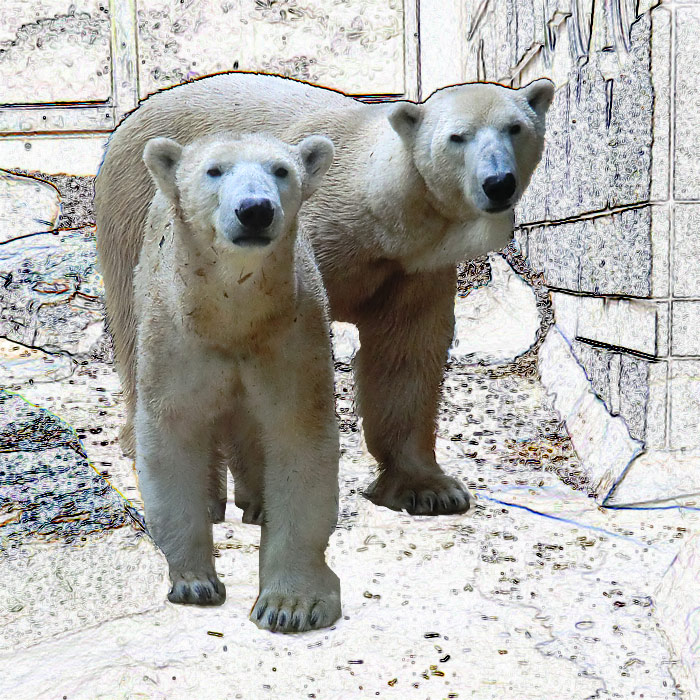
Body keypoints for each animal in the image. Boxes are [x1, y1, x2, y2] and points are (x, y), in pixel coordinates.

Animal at [94, 71, 552, 520]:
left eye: (515, 128)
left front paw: (429, 489)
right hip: (132, 212)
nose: (498, 183)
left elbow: (405, 356)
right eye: (457, 137)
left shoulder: (411, 270)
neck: (377, 214)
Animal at [135, 131, 342, 636]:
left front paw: (290, 605)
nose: (255, 210)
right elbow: (172, 436)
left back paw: (256, 503)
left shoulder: (291, 338)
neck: (232, 321)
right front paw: (195, 582)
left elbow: (298, 437)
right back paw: (215, 503)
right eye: (215, 170)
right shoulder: (177, 343)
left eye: (281, 170)